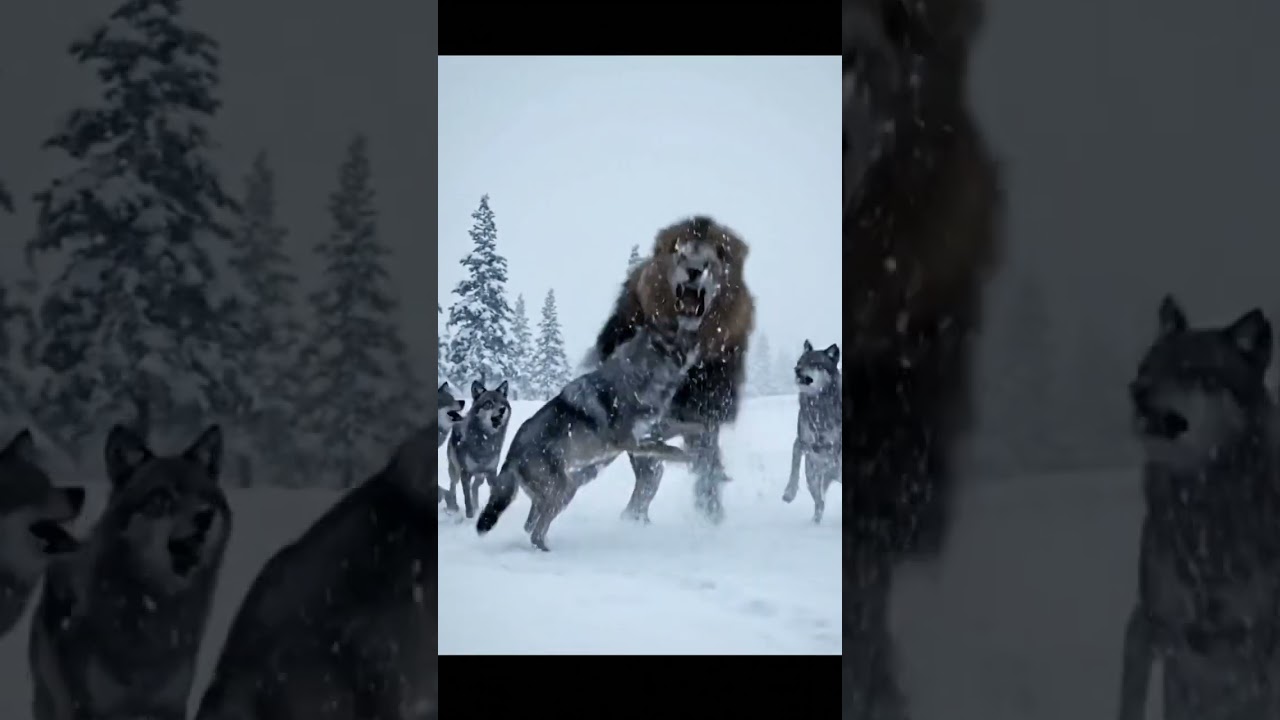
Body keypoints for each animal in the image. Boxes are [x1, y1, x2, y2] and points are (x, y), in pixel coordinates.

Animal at [444, 379, 511, 518]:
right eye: (489, 404)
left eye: (502, 404)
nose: (502, 410)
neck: (486, 441)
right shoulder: (465, 473)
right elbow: (467, 499)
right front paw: (470, 516)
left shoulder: (492, 473)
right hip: (455, 472)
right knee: (453, 485)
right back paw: (453, 507)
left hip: (481, 476)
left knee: (475, 487)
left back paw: (476, 507)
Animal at [478, 320, 702, 551]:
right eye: (680, 337)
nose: (699, 338)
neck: (637, 380)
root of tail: (510, 455)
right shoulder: (632, 442)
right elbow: (671, 450)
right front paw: (692, 458)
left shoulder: (652, 430)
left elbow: (691, 426)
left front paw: (702, 437)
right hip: (562, 490)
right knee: (535, 533)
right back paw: (548, 550)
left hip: (564, 491)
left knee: (530, 525)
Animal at [591, 215, 755, 524]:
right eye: (678, 249)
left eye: (720, 253)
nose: (695, 269)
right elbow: (649, 468)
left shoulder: (707, 408)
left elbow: (705, 464)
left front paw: (711, 516)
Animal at [782, 340, 842, 524]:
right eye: (799, 361)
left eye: (814, 363)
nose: (796, 369)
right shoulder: (801, 442)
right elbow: (794, 465)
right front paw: (789, 493)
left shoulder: (835, 445)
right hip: (812, 478)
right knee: (820, 503)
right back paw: (814, 523)